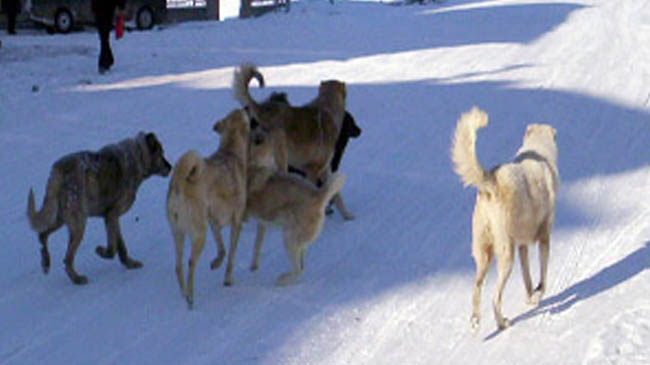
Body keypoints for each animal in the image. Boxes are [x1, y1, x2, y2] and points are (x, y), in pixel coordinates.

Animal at [166, 109, 249, 308]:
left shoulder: (213, 222)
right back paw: (190, 298)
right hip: (199, 235)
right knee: (190, 263)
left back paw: (184, 294)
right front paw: (227, 279)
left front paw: (215, 263)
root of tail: (179, 184)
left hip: (178, 233)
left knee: (178, 266)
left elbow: (222, 249)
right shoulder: (236, 223)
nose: (246, 108)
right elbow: (230, 255)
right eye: (243, 115)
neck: (230, 152)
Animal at [243, 129, 344, 286]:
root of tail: (318, 195)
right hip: (296, 241)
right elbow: (256, 246)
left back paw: (283, 280)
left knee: (298, 271)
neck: (253, 164)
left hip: (288, 238)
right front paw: (253, 266)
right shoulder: (261, 223)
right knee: (301, 267)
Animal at [450, 106, 556, 332]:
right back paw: (502, 323)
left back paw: (475, 322)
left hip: (484, 253)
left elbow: (527, 277)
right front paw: (538, 295)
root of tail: (491, 183)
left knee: (477, 286)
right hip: (506, 254)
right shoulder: (544, 237)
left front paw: (530, 297)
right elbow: (542, 275)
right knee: (494, 297)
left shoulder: (523, 244)